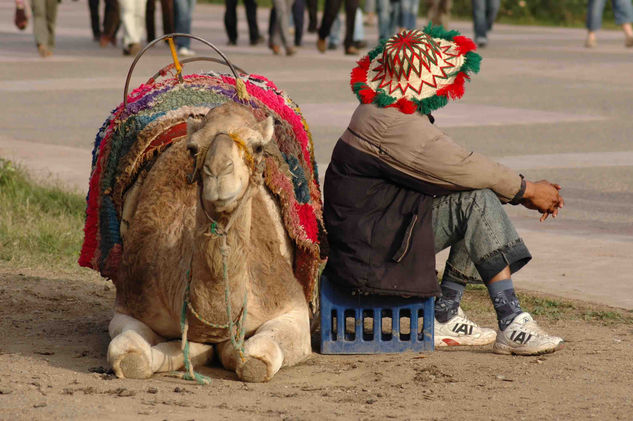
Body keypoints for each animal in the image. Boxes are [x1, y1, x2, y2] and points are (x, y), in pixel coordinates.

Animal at [107, 101, 312, 380]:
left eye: (258, 147)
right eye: (193, 148)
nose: (218, 172)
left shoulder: (290, 304)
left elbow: (254, 360)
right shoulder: (129, 304)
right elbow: (130, 356)